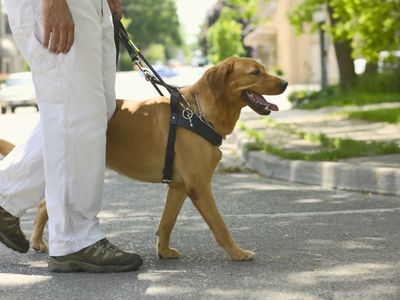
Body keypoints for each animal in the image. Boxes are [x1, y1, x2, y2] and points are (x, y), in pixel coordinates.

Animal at [0, 56, 288, 260]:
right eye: (255, 72)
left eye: (263, 69)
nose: (285, 83)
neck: (197, 112)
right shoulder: (199, 186)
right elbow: (220, 225)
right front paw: (237, 253)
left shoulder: (179, 186)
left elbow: (167, 223)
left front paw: (164, 251)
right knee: (43, 203)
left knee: (43, 205)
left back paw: (37, 241)